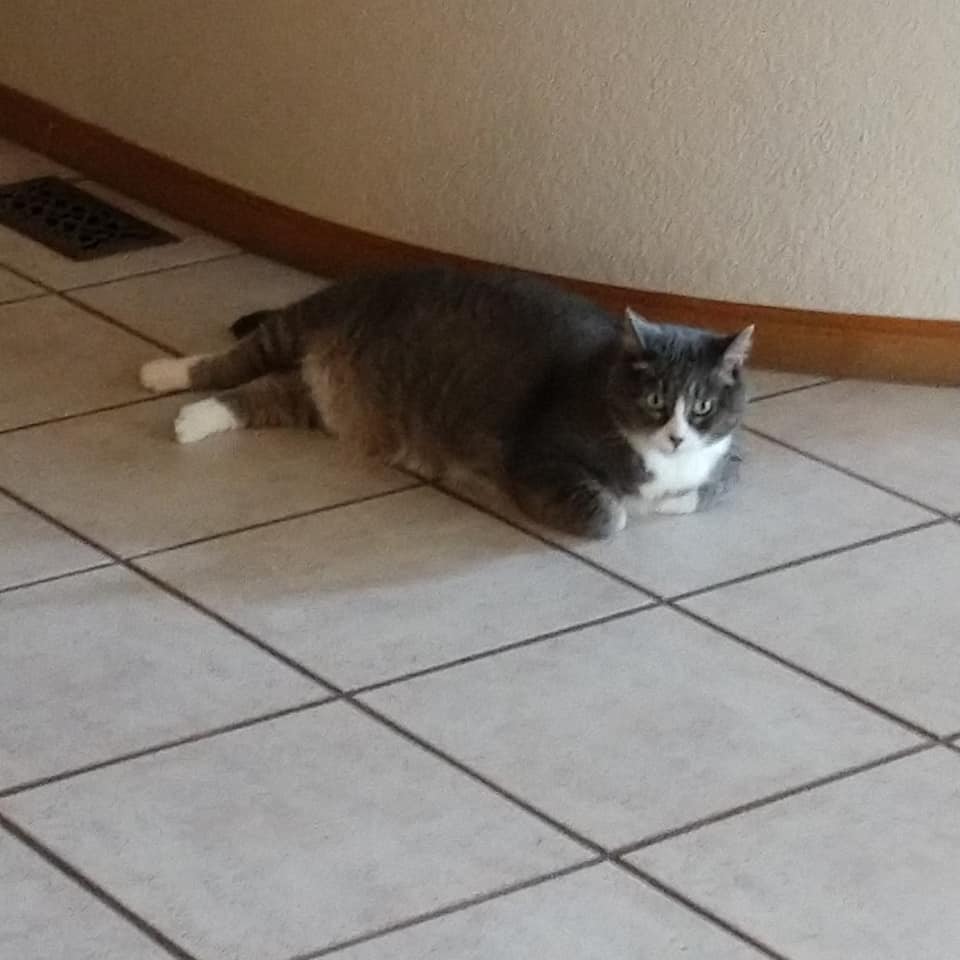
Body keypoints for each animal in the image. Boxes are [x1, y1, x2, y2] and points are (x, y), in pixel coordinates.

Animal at [139, 266, 752, 538]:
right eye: (656, 398)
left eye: (702, 407)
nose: (677, 435)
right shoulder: (539, 459)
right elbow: (611, 514)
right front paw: (628, 506)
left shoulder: (727, 464)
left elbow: (703, 492)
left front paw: (668, 499)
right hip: (303, 322)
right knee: (232, 362)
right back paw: (163, 374)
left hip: (318, 400)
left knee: (258, 395)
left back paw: (196, 417)